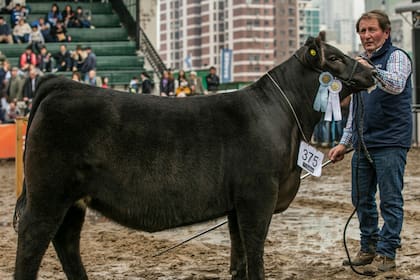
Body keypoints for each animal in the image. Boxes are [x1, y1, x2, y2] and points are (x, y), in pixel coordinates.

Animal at [13, 36, 376, 278]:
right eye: (334, 58)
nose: (371, 72)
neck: (283, 118)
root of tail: (61, 84)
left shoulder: (236, 205)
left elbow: (239, 256)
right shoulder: (258, 194)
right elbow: (255, 252)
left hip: (74, 200)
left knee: (66, 242)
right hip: (49, 194)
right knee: (32, 241)